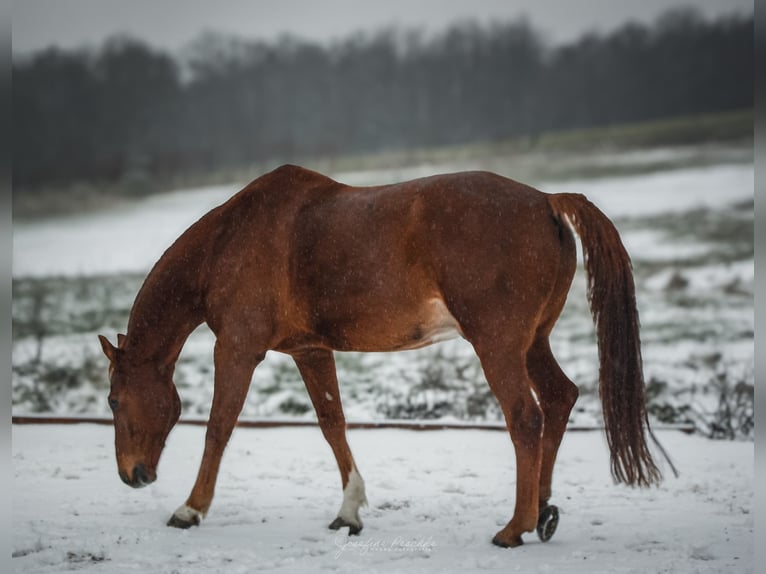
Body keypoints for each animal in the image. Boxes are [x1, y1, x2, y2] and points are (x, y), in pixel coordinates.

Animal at [99, 165, 676, 548]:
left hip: (498, 347)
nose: (132, 475)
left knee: (526, 418)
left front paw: (190, 509)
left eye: (112, 400)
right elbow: (332, 424)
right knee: (559, 399)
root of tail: (547, 201)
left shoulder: (238, 350)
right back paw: (542, 510)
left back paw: (514, 526)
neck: (230, 241)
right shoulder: (311, 351)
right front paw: (349, 511)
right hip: (532, 342)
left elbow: (218, 427)